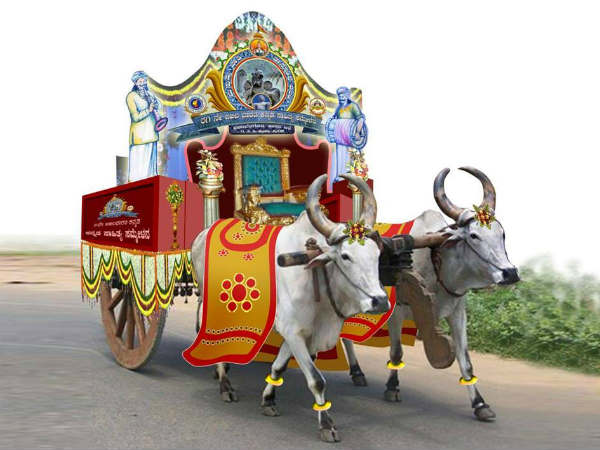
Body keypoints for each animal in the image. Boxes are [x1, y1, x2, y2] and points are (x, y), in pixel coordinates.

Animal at [191, 173, 389, 442]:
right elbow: (316, 379)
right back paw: (225, 384)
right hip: (211, 303)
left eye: (377, 255)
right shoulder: (293, 330)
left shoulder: (301, 333)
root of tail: (203, 233)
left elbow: (279, 366)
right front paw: (327, 424)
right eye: (345, 256)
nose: (380, 301)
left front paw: (268, 400)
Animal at [341, 167, 520, 422]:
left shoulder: (457, 313)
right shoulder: (396, 310)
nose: (510, 273)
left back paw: (356, 372)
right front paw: (392, 388)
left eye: (502, 234)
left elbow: (465, 360)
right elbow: (396, 352)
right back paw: (355, 371)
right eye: (474, 236)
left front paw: (480, 404)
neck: (437, 261)